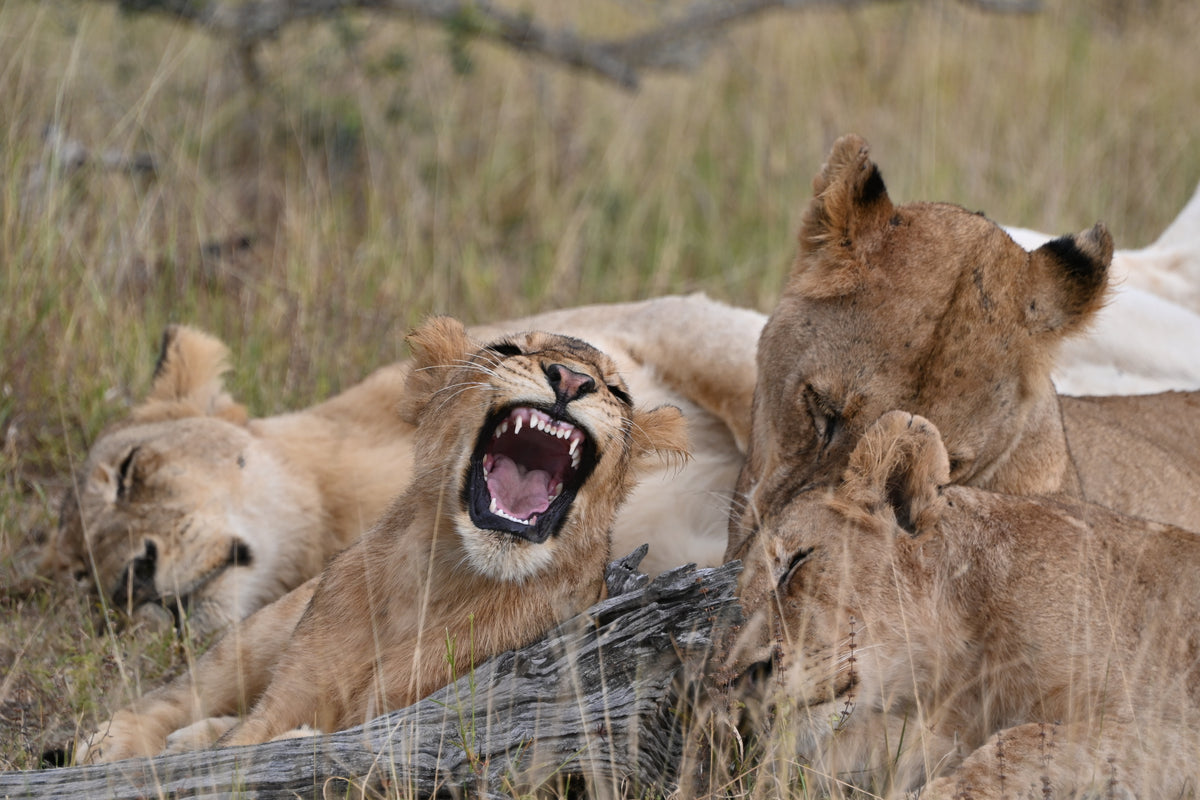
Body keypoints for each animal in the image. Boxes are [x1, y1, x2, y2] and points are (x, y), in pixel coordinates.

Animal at [82, 316, 686, 762]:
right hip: (257, 632)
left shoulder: (423, 715)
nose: (570, 380)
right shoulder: (292, 692)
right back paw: (108, 745)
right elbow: (243, 746)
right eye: (507, 348)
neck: (438, 582)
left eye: (618, 392)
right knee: (177, 694)